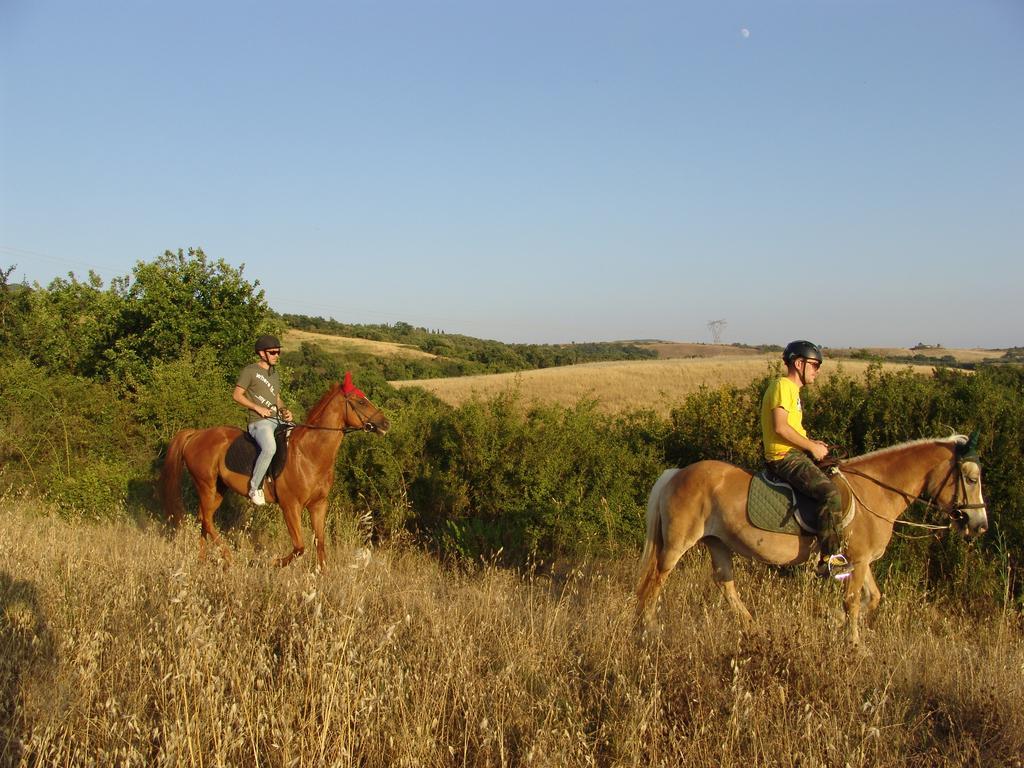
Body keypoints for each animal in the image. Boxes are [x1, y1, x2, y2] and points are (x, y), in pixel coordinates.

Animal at [161, 372, 389, 573]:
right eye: (360, 402)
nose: (385, 423)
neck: (309, 453)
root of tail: (196, 435)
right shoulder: (290, 506)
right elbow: (300, 547)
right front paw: (269, 563)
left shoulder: (318, 505)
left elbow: (320, 543)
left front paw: (323, 577)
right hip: (206, 485)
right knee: (207, 520)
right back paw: (229, 557)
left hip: (218, 489)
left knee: (204, 519)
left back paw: (202, 561)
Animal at [634, 436, 987, 647]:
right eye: (971, 479)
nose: (980, 525)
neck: (877, 491)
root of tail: (677, 472)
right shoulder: (858, 561)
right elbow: (852, 603)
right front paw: (855, 645)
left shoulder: (859, 561)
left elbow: (872, 598)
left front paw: (834, 622)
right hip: (677, 544)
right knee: (655, 581)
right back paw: (647, 629)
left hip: (717, 542)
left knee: (726, 584)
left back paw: (752, 627)